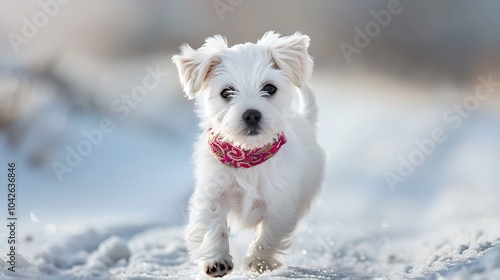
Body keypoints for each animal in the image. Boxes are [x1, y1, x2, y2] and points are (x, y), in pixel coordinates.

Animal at [174, 31, 326, 276]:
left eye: (270, 88)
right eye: (226, 92)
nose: (252, 114)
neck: (247, 155)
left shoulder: (281, 202)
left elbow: (269, 235)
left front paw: (258, 263)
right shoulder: (211, 192)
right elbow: (212, 224)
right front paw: (216, 261)